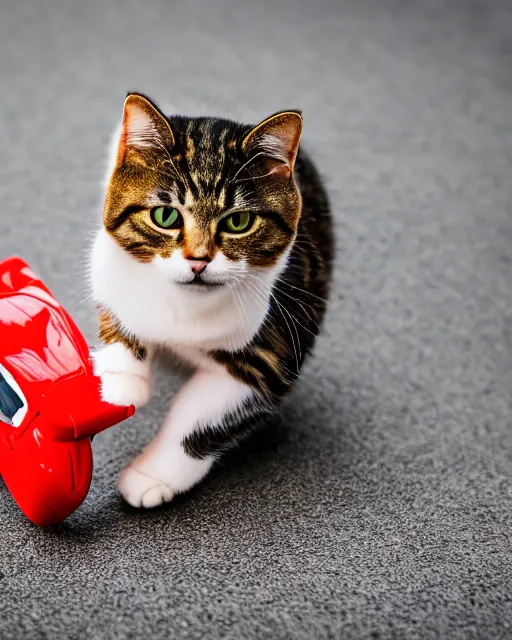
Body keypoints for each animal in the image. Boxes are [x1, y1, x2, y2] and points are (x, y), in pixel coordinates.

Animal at [90, 92, 334, 508]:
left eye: (238, 222)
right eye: (165, 215)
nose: (198, 259)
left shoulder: (275, 350)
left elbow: (203, 417)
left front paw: (151, 476)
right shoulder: (108, 263)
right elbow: (117, 312)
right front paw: (120, 382)